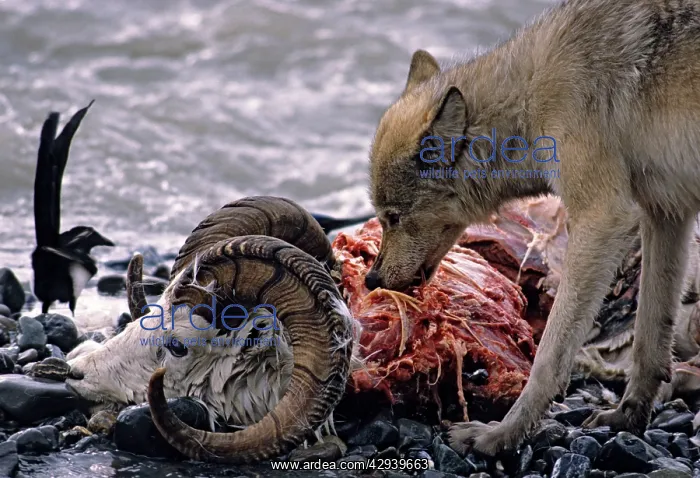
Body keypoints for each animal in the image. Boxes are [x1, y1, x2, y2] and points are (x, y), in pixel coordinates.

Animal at [365, 0, 700, 456]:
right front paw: (627, 418)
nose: (371, 279)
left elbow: (548, 355)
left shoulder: (604, 216)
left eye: (393, 217)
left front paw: (500, 435)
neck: (528, 99)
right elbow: (649, 341)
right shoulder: (666, 214)